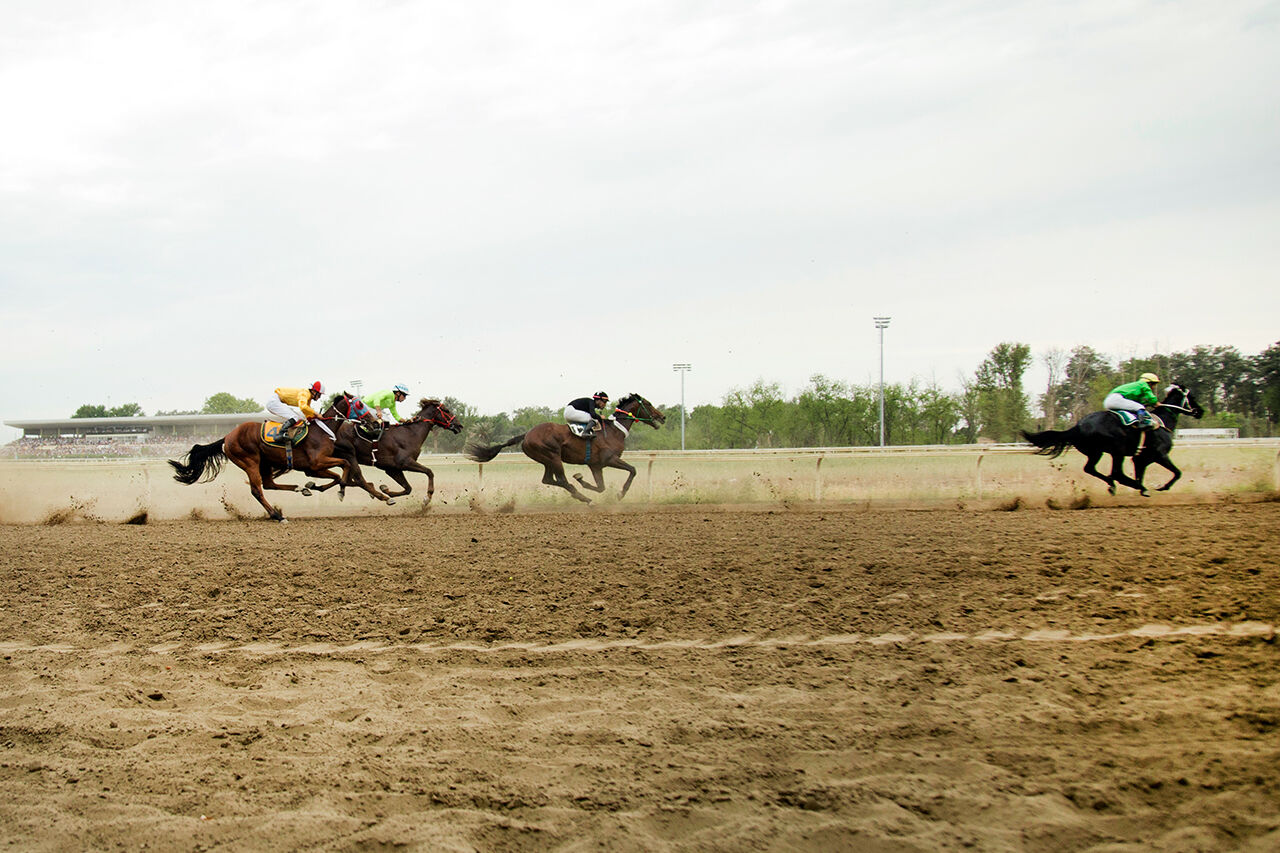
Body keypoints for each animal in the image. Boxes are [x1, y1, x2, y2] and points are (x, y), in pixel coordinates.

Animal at [170, 404, 389, 517]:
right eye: (359, 404)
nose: (376, 422)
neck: (322, 431)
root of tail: (226, 437)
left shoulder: (314, 468)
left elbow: (339, 475)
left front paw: (315, 487)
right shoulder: (316, 464)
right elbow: (343, 469)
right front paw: (341, 490)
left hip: (264, 463)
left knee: (269, 484)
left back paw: (299, 490)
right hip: (249, 461)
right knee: (257, 490)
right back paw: (277, 515)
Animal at [320, 394, 465, 504]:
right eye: (446, 410)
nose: (459, 425)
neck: (411, 433)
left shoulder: (392, 469)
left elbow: (408, 488)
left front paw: (385, 489)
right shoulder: (405, 462)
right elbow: (429, 472)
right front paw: (427, 498)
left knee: (345, 478)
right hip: (348, 454)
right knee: (357, 479)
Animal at [463, 389, 665, 502]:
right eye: (648, 404)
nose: (662, 417)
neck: (615, 430)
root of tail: (526, 434)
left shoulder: (596, 465)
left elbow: (601, 487)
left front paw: (584, 481)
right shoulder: (609, 459)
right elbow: (633, 470)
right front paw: (621, 494)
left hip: (547, 459)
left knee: (548, 480)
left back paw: (579, 493)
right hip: (553, 456)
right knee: (561, 480)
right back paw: (583, 497)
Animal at [1018, 381, 1198, 494]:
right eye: (1192, 398)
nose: (1200, 411)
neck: (1162, 422)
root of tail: (1078, 426)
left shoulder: (1141, 459)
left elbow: (1141, 473)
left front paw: (1142, 488)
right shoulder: (1160, 454)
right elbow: (1177, 473)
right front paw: (1161, 487)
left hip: (1096, 452)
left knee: (1093, 469)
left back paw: (1119, 486)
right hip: (1116, 450)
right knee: (1116, 473)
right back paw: (1124, 486)